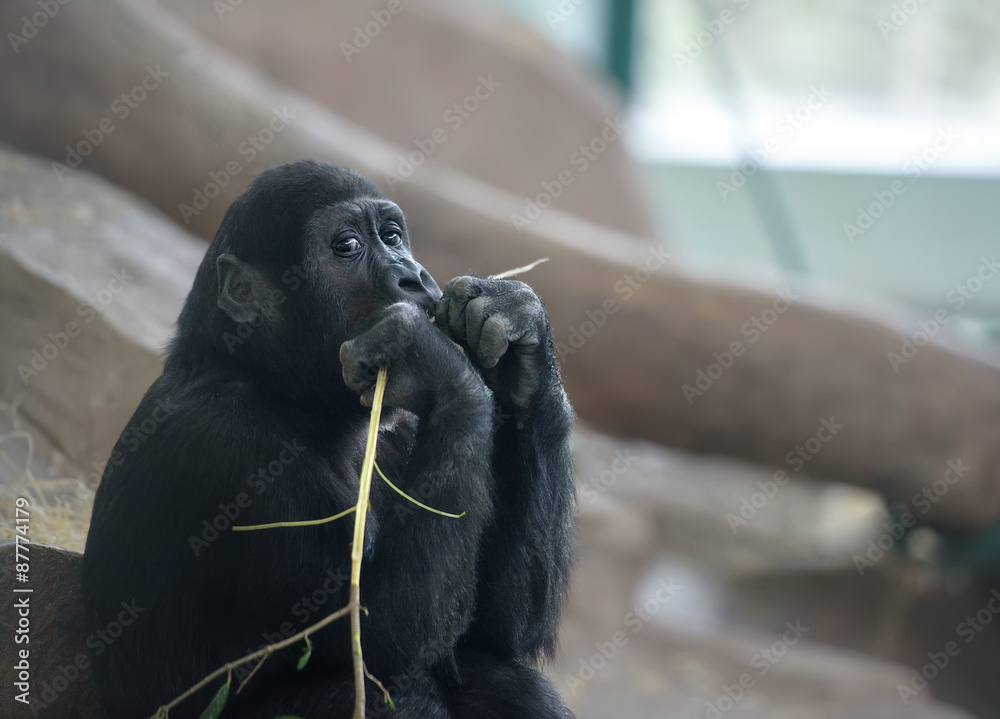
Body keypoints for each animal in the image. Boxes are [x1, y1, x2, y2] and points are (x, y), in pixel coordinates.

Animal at [81, 160, 576, 716]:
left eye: (392, 236)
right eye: (347, 246)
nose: (412, 275)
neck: (283, 388)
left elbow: (495, 630)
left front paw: (516, 324)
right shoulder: (228, 446)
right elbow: (385, 631)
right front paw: (423, 351)